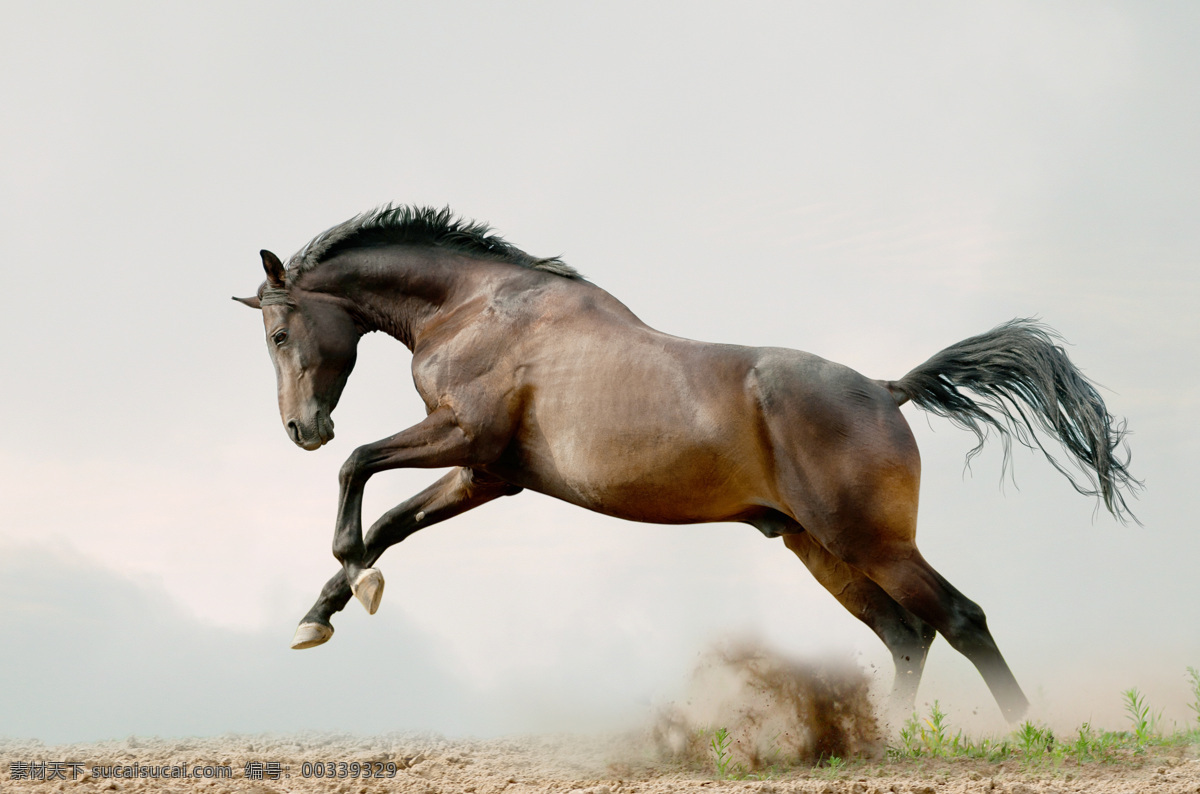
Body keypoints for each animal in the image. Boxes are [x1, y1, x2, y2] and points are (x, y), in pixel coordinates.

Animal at [231, 203, 1132, 719]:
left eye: (278, 331)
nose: (301, 428)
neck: (475, 307)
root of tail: (886, 389)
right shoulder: (489, 474)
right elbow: (387, 519)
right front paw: (323, 612)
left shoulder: (465, 440)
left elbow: (358, 473)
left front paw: (352, 583)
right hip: (818, 548)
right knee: (907, 636)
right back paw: (888, 743)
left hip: (871, 543)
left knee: (960, 619)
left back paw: (1027, 731)